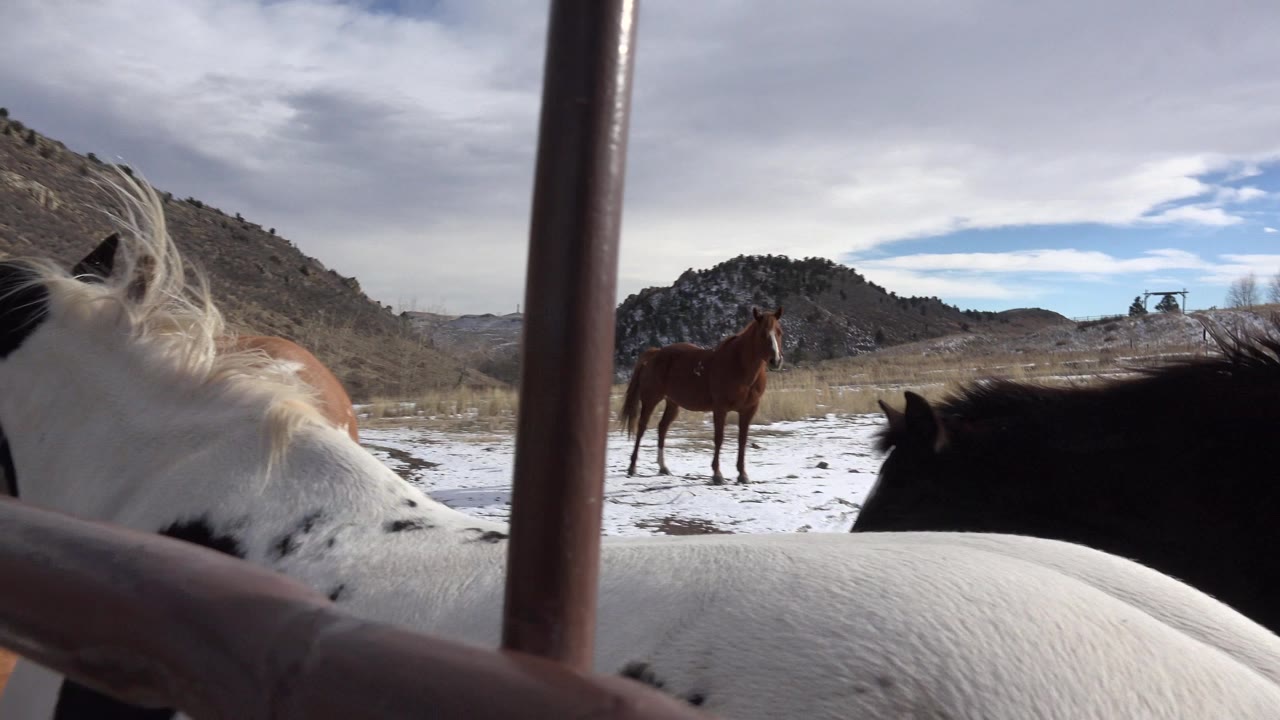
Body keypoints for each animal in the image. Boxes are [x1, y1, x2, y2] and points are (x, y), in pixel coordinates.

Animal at [619, 308, 783, 484]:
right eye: (762, 333)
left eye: (779, 332)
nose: (776, 361)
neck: (739, 365)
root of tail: (655, 354)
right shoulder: (720, 408)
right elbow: (719, 438)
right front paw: (717, 474)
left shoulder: (748, 410)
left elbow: (742, 440)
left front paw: (742, 475)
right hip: (651, 400)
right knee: (642, 427)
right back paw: (632, 467)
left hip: (672, 403)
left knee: (662, 428)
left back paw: (663, 467)